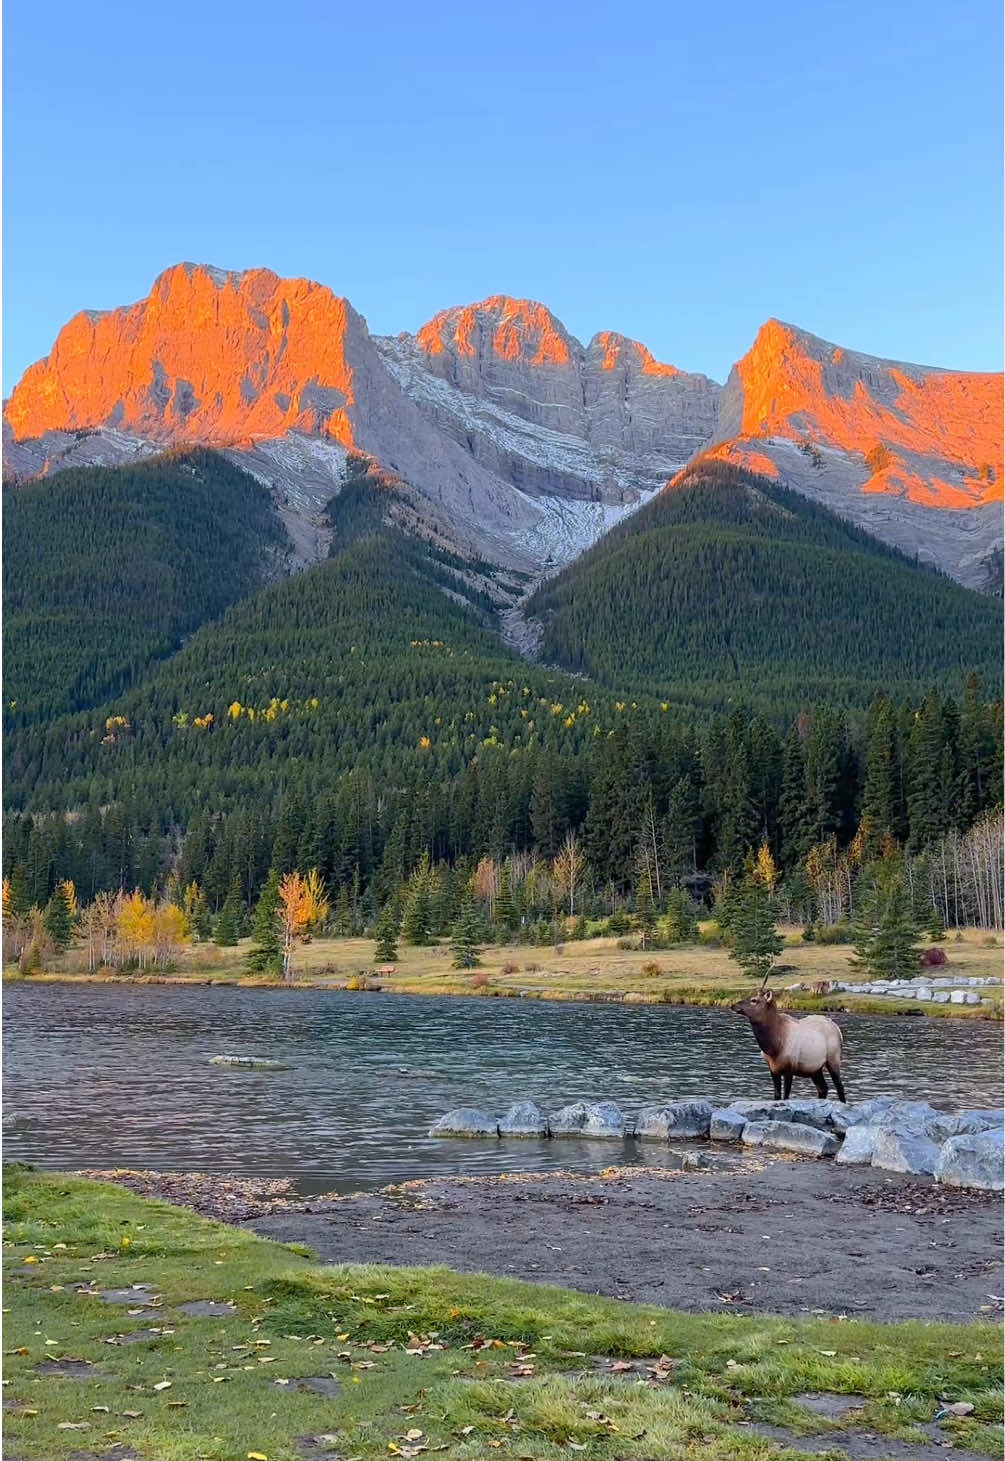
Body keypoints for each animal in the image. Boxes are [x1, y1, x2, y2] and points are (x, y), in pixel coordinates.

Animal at [730, 973, 846, 1102]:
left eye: (754, 1000)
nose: (733, 1005)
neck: (773, 1046)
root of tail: (837, 1029)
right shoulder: (772, 1069)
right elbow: (777, 1096)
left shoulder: (789, 1068)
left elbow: (785, 1096)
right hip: (815, 1069)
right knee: (823, 1088)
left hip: (833, 1060)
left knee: (840, 1087)